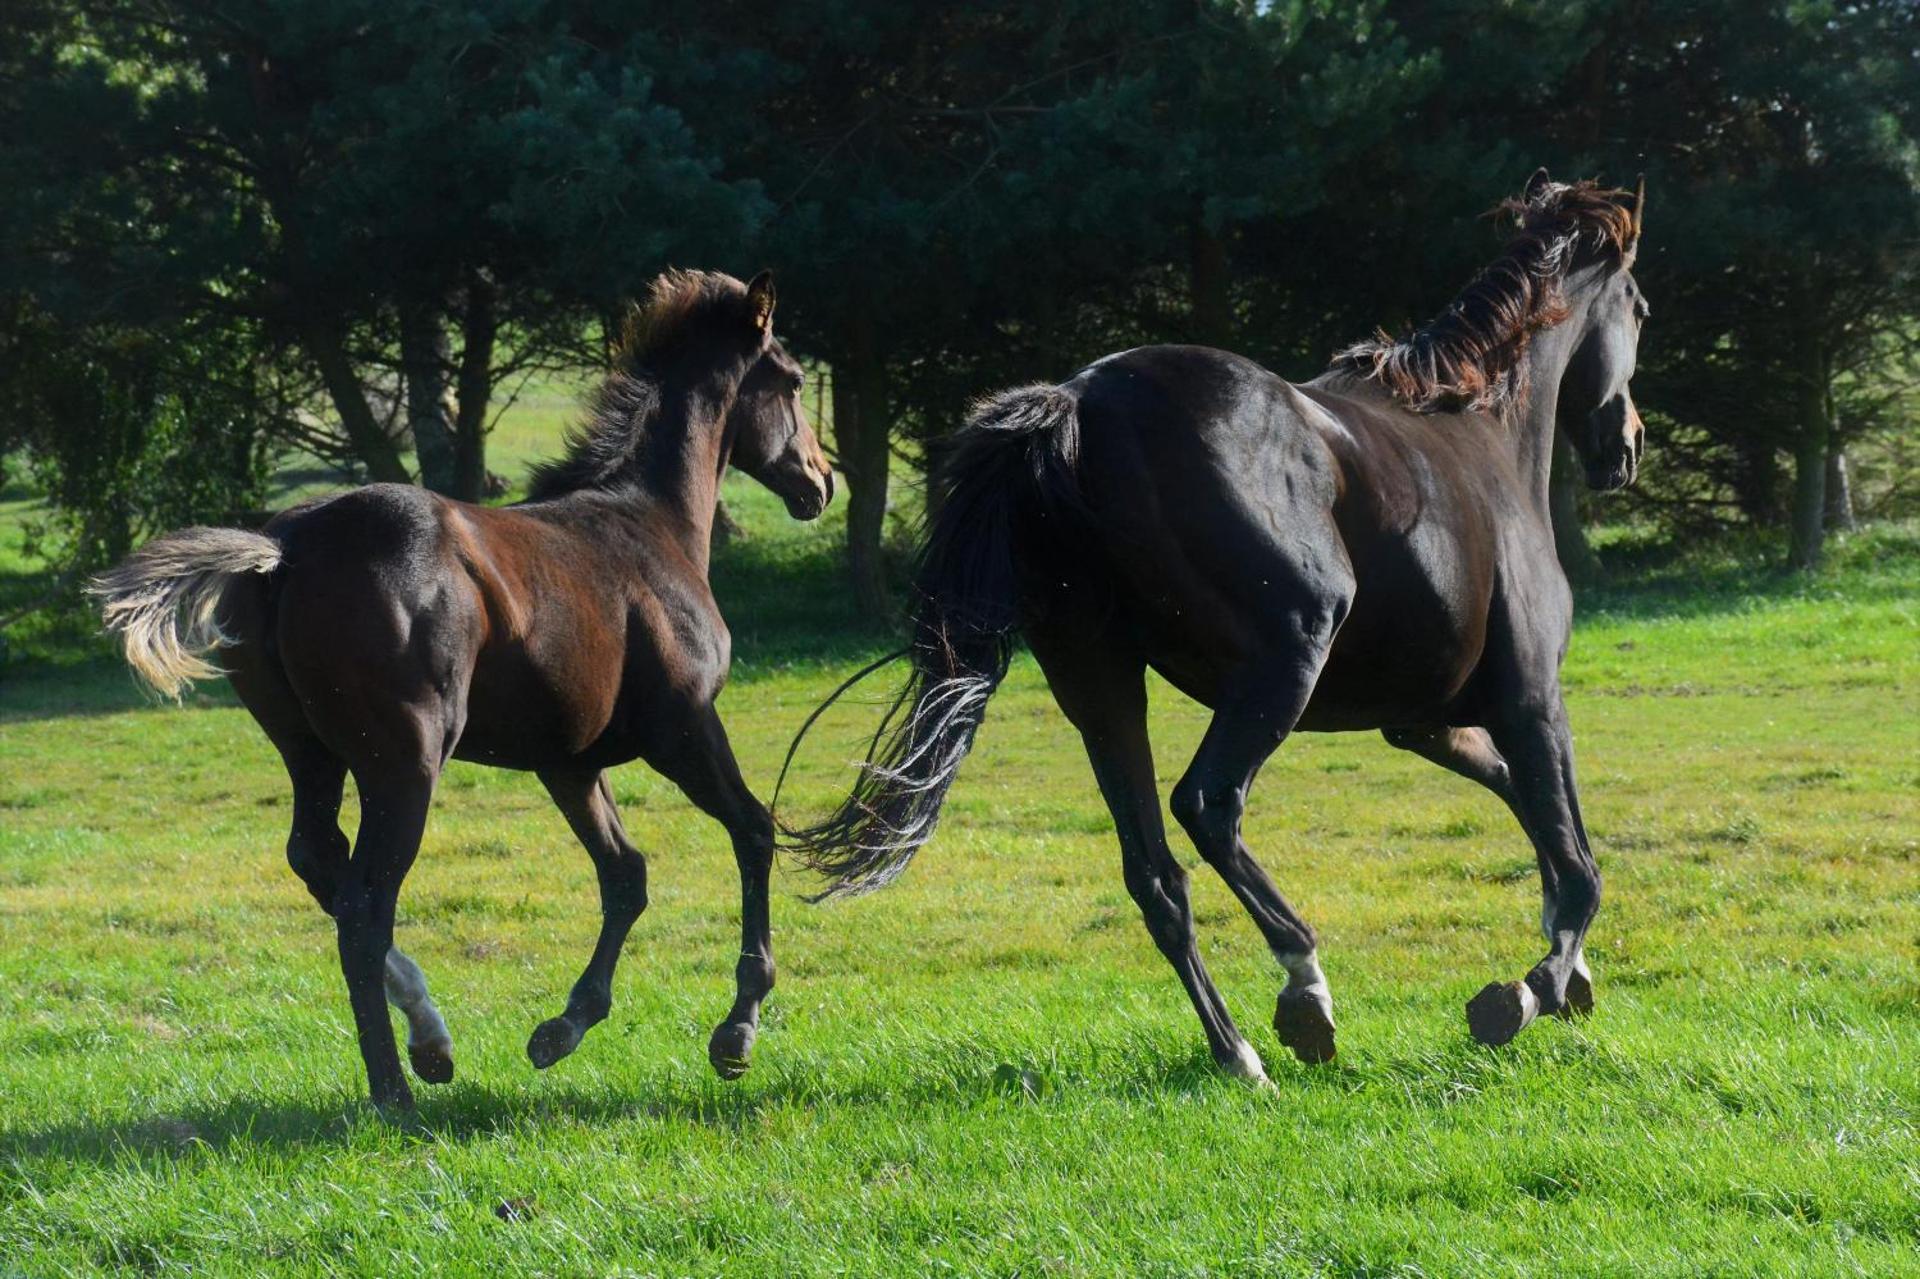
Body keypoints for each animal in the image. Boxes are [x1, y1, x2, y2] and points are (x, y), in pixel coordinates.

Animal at [92, 269, 834, 1109]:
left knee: (318, 859)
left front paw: (561, 1029)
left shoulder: (569, 761)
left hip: (312, 753)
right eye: (793, 380)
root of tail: (284, 547)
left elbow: (626, 873)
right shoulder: (684, 727)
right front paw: (737, 1030)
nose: (820, 480)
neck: (651, 527)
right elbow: (754, 828)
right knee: (362, 908)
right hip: (405, 762)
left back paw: (431, 1038)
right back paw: (395, 1090)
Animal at [782, 171, 1647, 1083]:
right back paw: (1305, 990)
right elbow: (1578, 862)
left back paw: (1238, 1052)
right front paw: (1527, 991)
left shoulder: (1426, 723)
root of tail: (1074, 406)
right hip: (1285, 657)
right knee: (1207, 805)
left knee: (1155, 875)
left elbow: (1529, 807)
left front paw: (1572, 974)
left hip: (1103, 687)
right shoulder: (1532, 699)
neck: (1481, 430)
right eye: (1640, 306)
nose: (1626, 444)